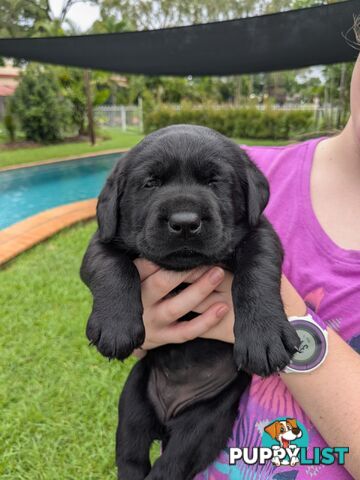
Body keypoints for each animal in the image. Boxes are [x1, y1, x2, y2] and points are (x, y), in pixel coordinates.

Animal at [80, 124, 300, 480]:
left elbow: (258, 267)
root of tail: (167, 418)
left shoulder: (260, 232)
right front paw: (115, 327)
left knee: (172, 464)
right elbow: (111, 265)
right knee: (131, 456)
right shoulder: (102, 238)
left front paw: (264, 336)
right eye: (150, 183)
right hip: (133, 400)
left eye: (214, 181)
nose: (184, 222)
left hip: (206, 422)